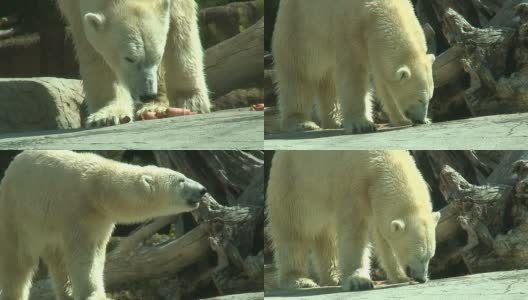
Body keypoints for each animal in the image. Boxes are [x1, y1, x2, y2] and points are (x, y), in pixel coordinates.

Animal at [0, 150, 206, 300]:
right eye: (181, 180)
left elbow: (96, 251)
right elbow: (84, 255)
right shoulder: (76, 211)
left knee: (57, 262)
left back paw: (66, 294)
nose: (202, 190)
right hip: (17, 214)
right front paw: (94, 294)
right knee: (16, 262)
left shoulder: (101, 219)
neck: (98, 188)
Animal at [54, 0, 210, 127]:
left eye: (158, 57)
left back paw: (155, 107)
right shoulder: (72, 8)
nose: (147, 94)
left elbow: (180, 22)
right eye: (129, 58)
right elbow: (92, 48)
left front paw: (190, 100)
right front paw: (108, 115)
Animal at [266, 150, 440, 290]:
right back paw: (299, 280)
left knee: (326, 236)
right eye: (417, 255)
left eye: (430, 256)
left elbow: (383, 236)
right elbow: (354, 230)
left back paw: (334, 277)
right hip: (293, 183)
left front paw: (400, 276)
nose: (421, 278)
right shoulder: (353, 183)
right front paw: (359, 280)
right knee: (292, 231)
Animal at [272, 0, 434, 134]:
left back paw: (335, 121)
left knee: (328, 80)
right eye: (420, 99)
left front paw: (403, 119)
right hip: (299, 25)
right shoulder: (350, 26)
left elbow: (384, 80)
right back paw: (302, 123)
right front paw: (362, 124)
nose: (420, 120)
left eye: (430, 98)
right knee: (297, 73)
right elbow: (353, 74)